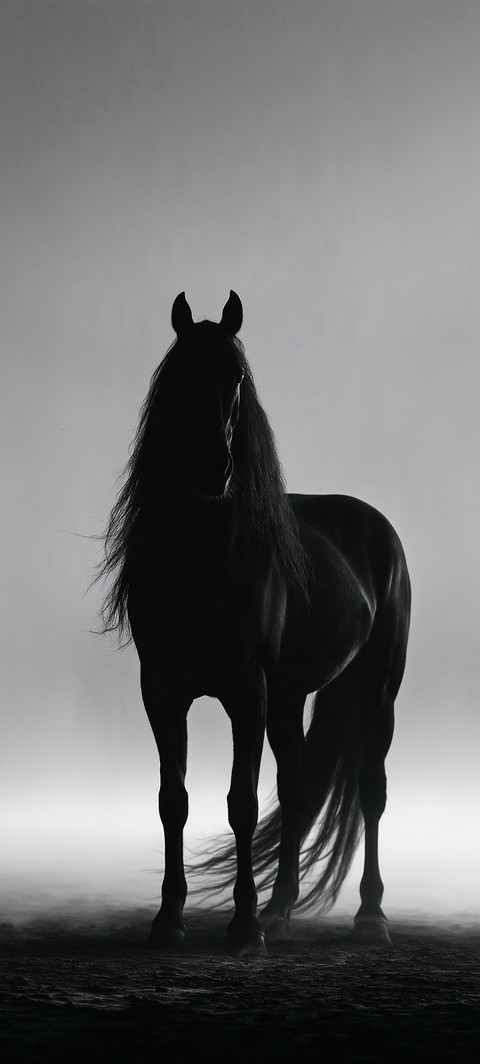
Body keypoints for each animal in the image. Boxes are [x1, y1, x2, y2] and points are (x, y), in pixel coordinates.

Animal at [99, 291, 411, 954]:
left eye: (236, 378)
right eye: (179, 378)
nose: (214, 470)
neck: (205, 563)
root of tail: (377, 527)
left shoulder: (246, 691)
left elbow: (241, 801)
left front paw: (242, 929)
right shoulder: (161, 690)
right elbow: (173, 799)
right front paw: (169, 921)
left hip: (375, 691)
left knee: (371, 791)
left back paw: (369, 917)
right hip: (288, 699)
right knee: (296, 789)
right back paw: (281, 908)